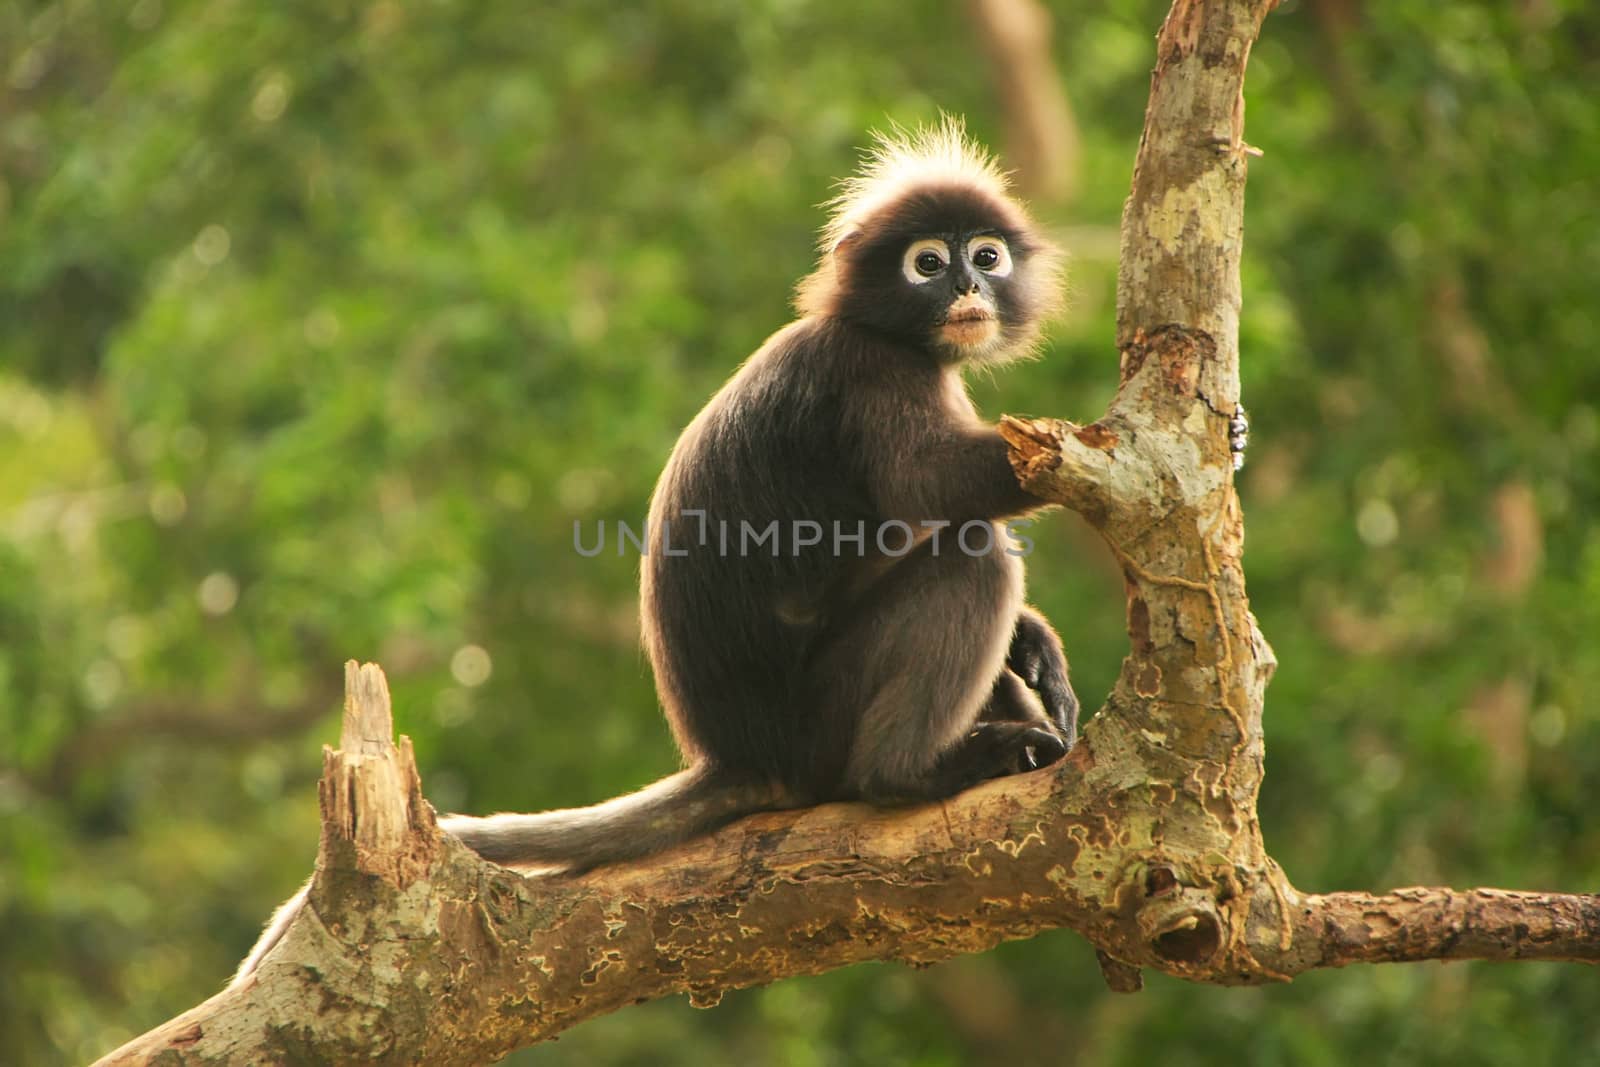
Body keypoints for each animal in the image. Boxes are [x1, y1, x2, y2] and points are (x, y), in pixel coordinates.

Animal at [233, 116, 1075, 985]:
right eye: (928, 264)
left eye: (986, 257)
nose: (969, 291)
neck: (878, 329)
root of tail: (741, 756)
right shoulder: (871, 374)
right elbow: (932, 485)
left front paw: (1036, 641)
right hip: (824, 718)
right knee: (973, 556)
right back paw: (913, 771)